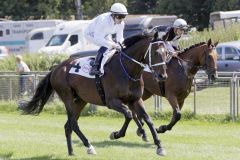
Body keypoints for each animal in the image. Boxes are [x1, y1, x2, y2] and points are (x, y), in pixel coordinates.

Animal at [22, 32, 169, 156]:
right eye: (155, 53)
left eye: (167, 53)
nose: (162, 76)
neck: (127, 71)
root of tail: (56, 68)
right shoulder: (112, 102)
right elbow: (128, 115)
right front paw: (116, 134)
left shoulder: (136, 100)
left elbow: (148, 119)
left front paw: (159, 146)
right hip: (67, 97)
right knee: (73, 123)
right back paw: (89, 146)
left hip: (81, 100)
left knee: (68, 125)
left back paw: (71, 152)